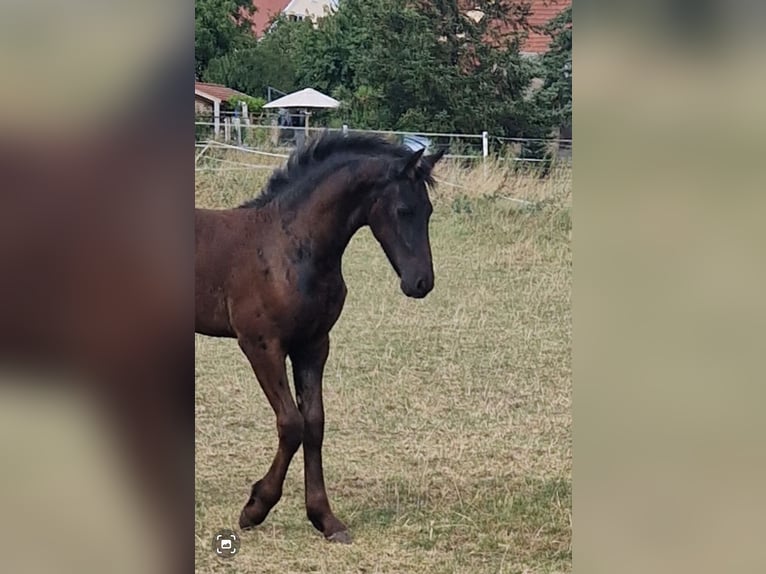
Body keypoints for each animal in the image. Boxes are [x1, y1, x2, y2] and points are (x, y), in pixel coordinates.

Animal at [195, 133, 448, 548]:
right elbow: (291, 423)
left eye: (428, 211)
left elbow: (314, 423)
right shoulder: (261, 345)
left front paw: (326, 519)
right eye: (403, 209)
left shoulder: (313, 346)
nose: (421, 282)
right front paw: (255, 507)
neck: (289, 245)